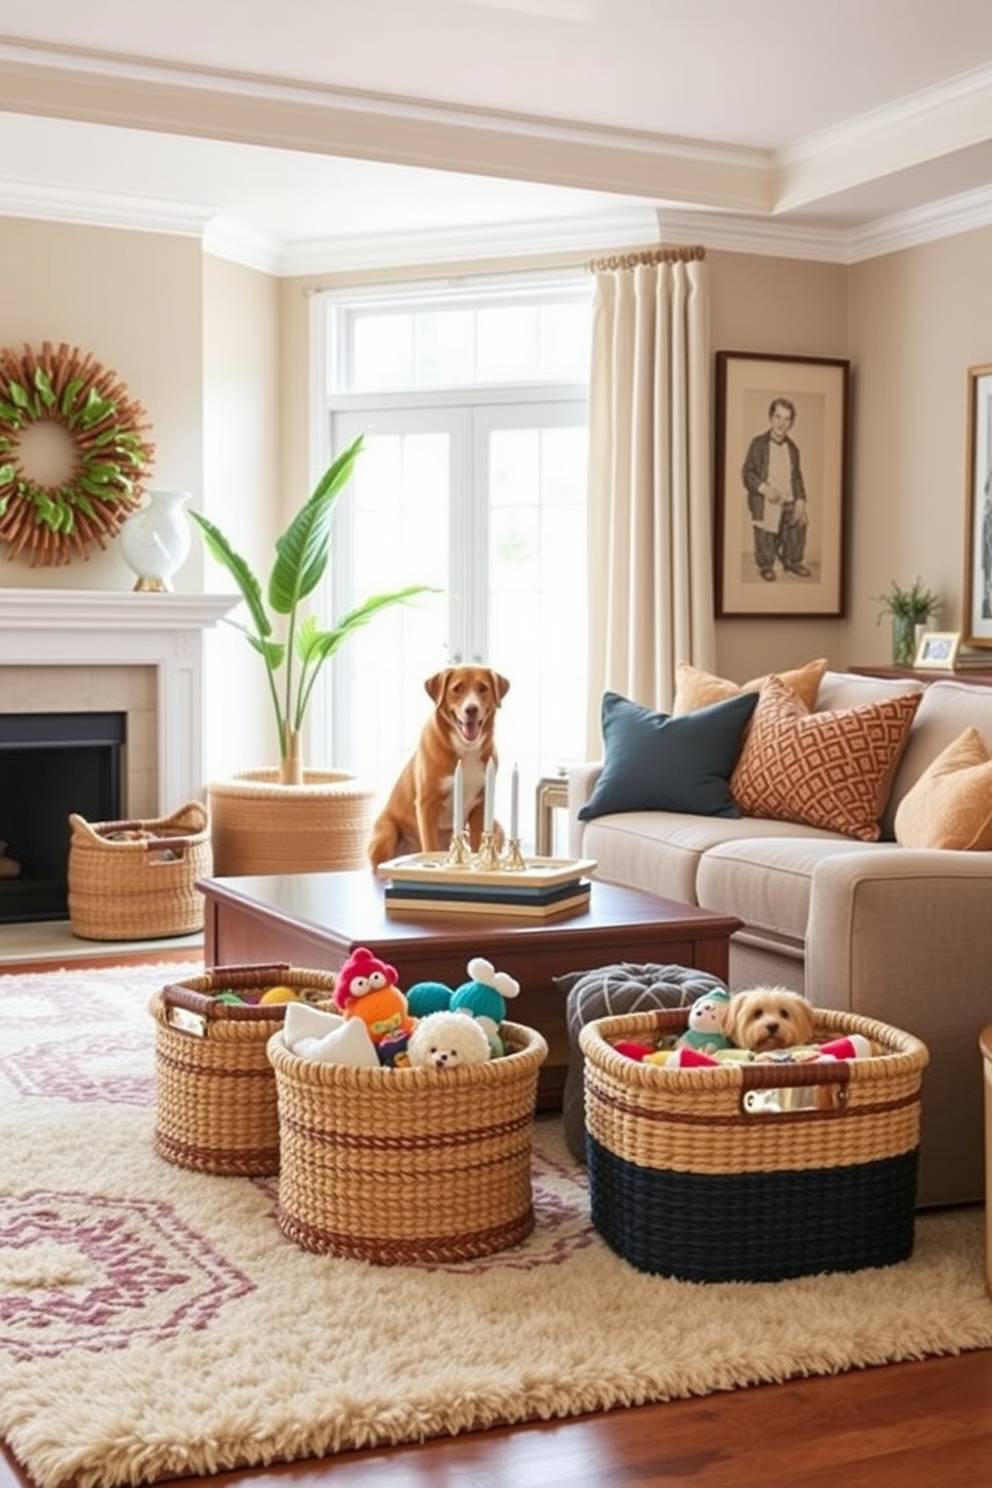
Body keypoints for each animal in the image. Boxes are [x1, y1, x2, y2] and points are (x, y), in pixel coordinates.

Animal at [367, 666, 511, 868]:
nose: (471, 709)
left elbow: (477, 845)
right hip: (387, 832)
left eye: (483, 688)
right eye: (457, 688)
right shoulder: (427, 804)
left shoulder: (480, 805)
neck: (465, 749)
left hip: (497, 827)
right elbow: (430, 846)